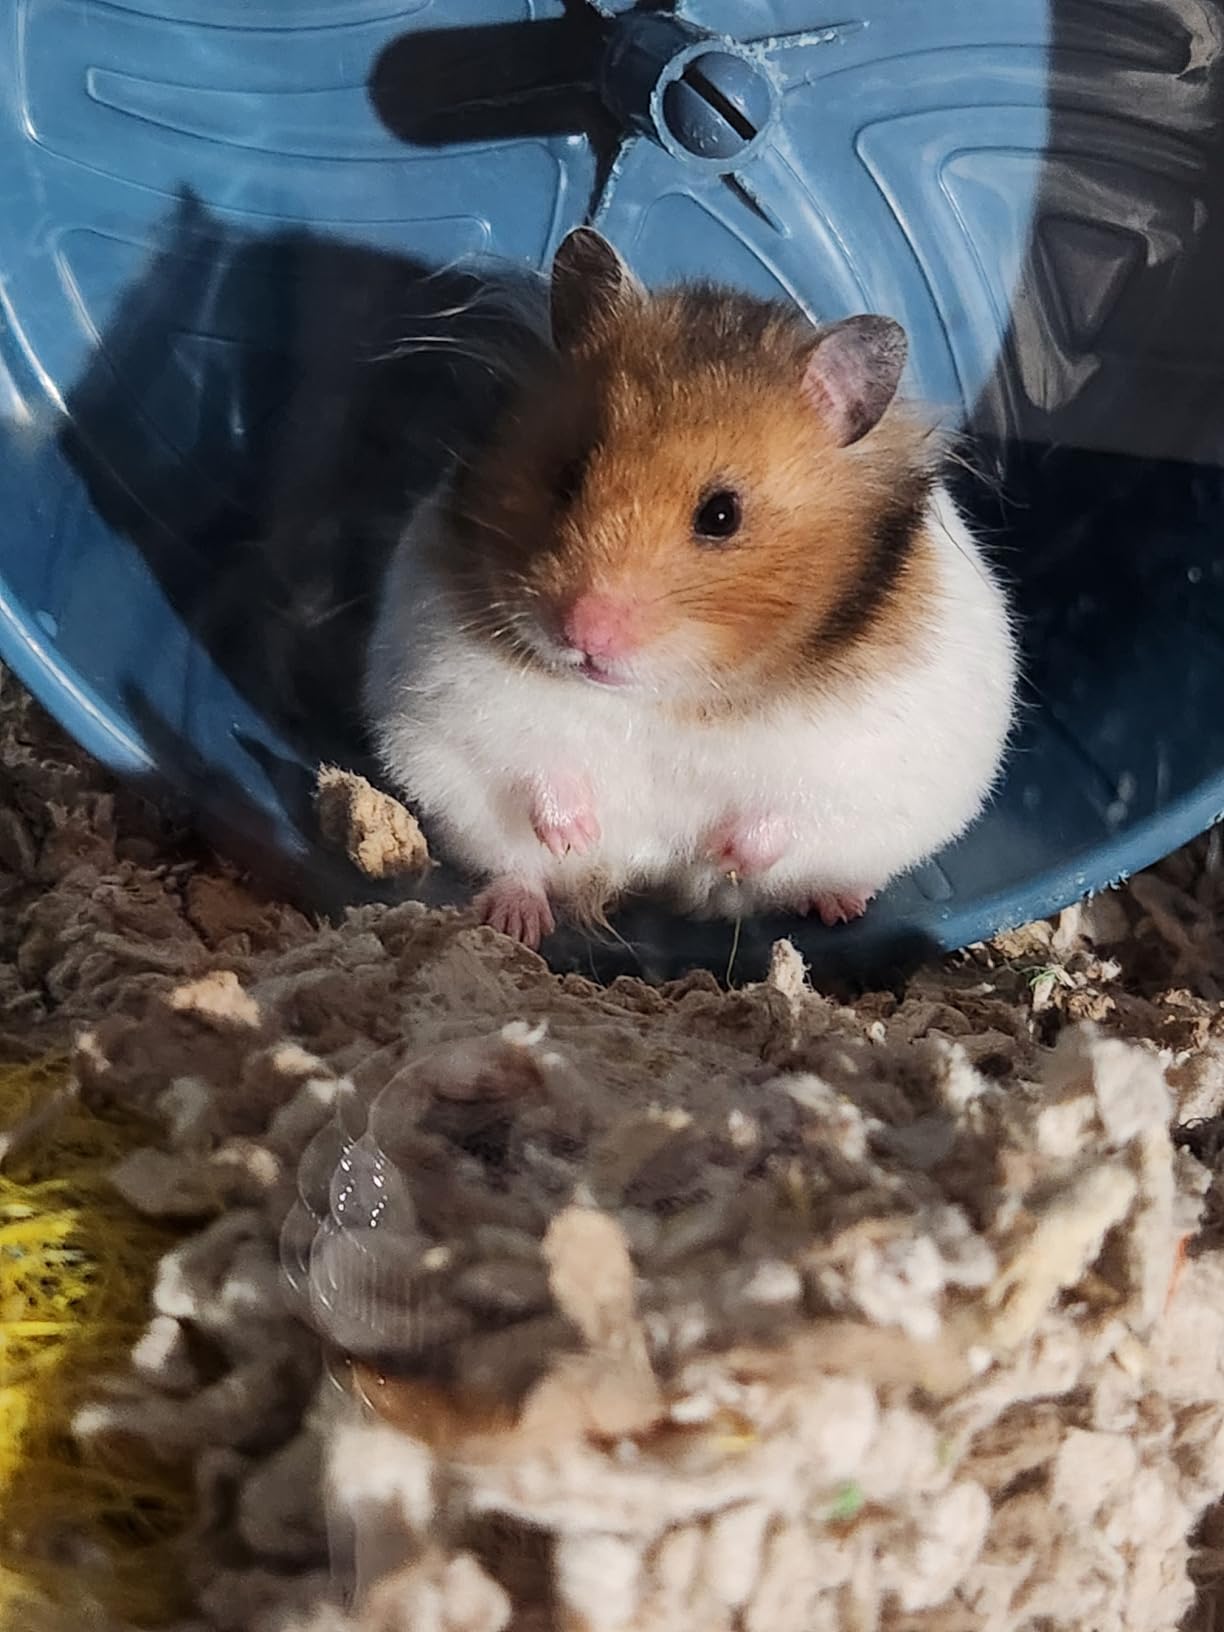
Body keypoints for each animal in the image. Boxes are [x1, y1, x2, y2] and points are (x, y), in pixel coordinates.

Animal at [364, 228, 1017, 949]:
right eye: (568, 475)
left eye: (721, 515)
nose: (584, 634)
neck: (667, 694)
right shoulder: (463, 699)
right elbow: (538, 768)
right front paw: (577, 835)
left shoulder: (857, 755)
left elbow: (781, 813)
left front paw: (719, 852)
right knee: (515, 867)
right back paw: (519, 920)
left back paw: (837, 906)